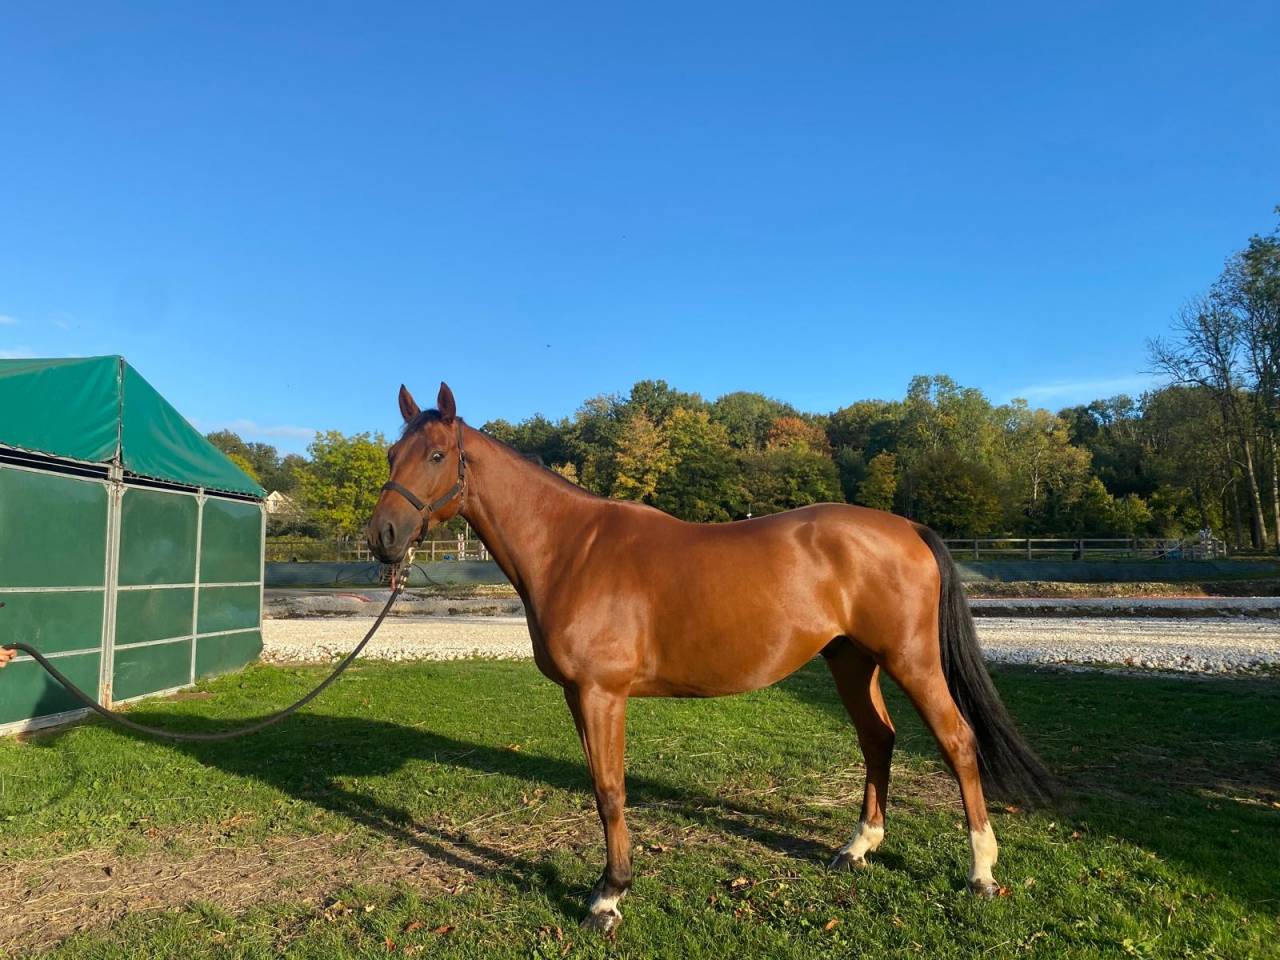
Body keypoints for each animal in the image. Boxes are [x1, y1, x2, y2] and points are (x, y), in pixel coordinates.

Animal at [366, 383, 1056, 935]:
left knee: (957, 742)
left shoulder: (600, 693)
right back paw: (858, 847)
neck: (571, 548)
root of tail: (906, 527)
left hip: (911, 661)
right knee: (878, 739)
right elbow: (600, 786)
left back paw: (980, 870)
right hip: (850, 661)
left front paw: (608, 897)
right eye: (391, 457)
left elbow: (610, 790)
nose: (382, 537)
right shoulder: (578, 694)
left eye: (436, 455)